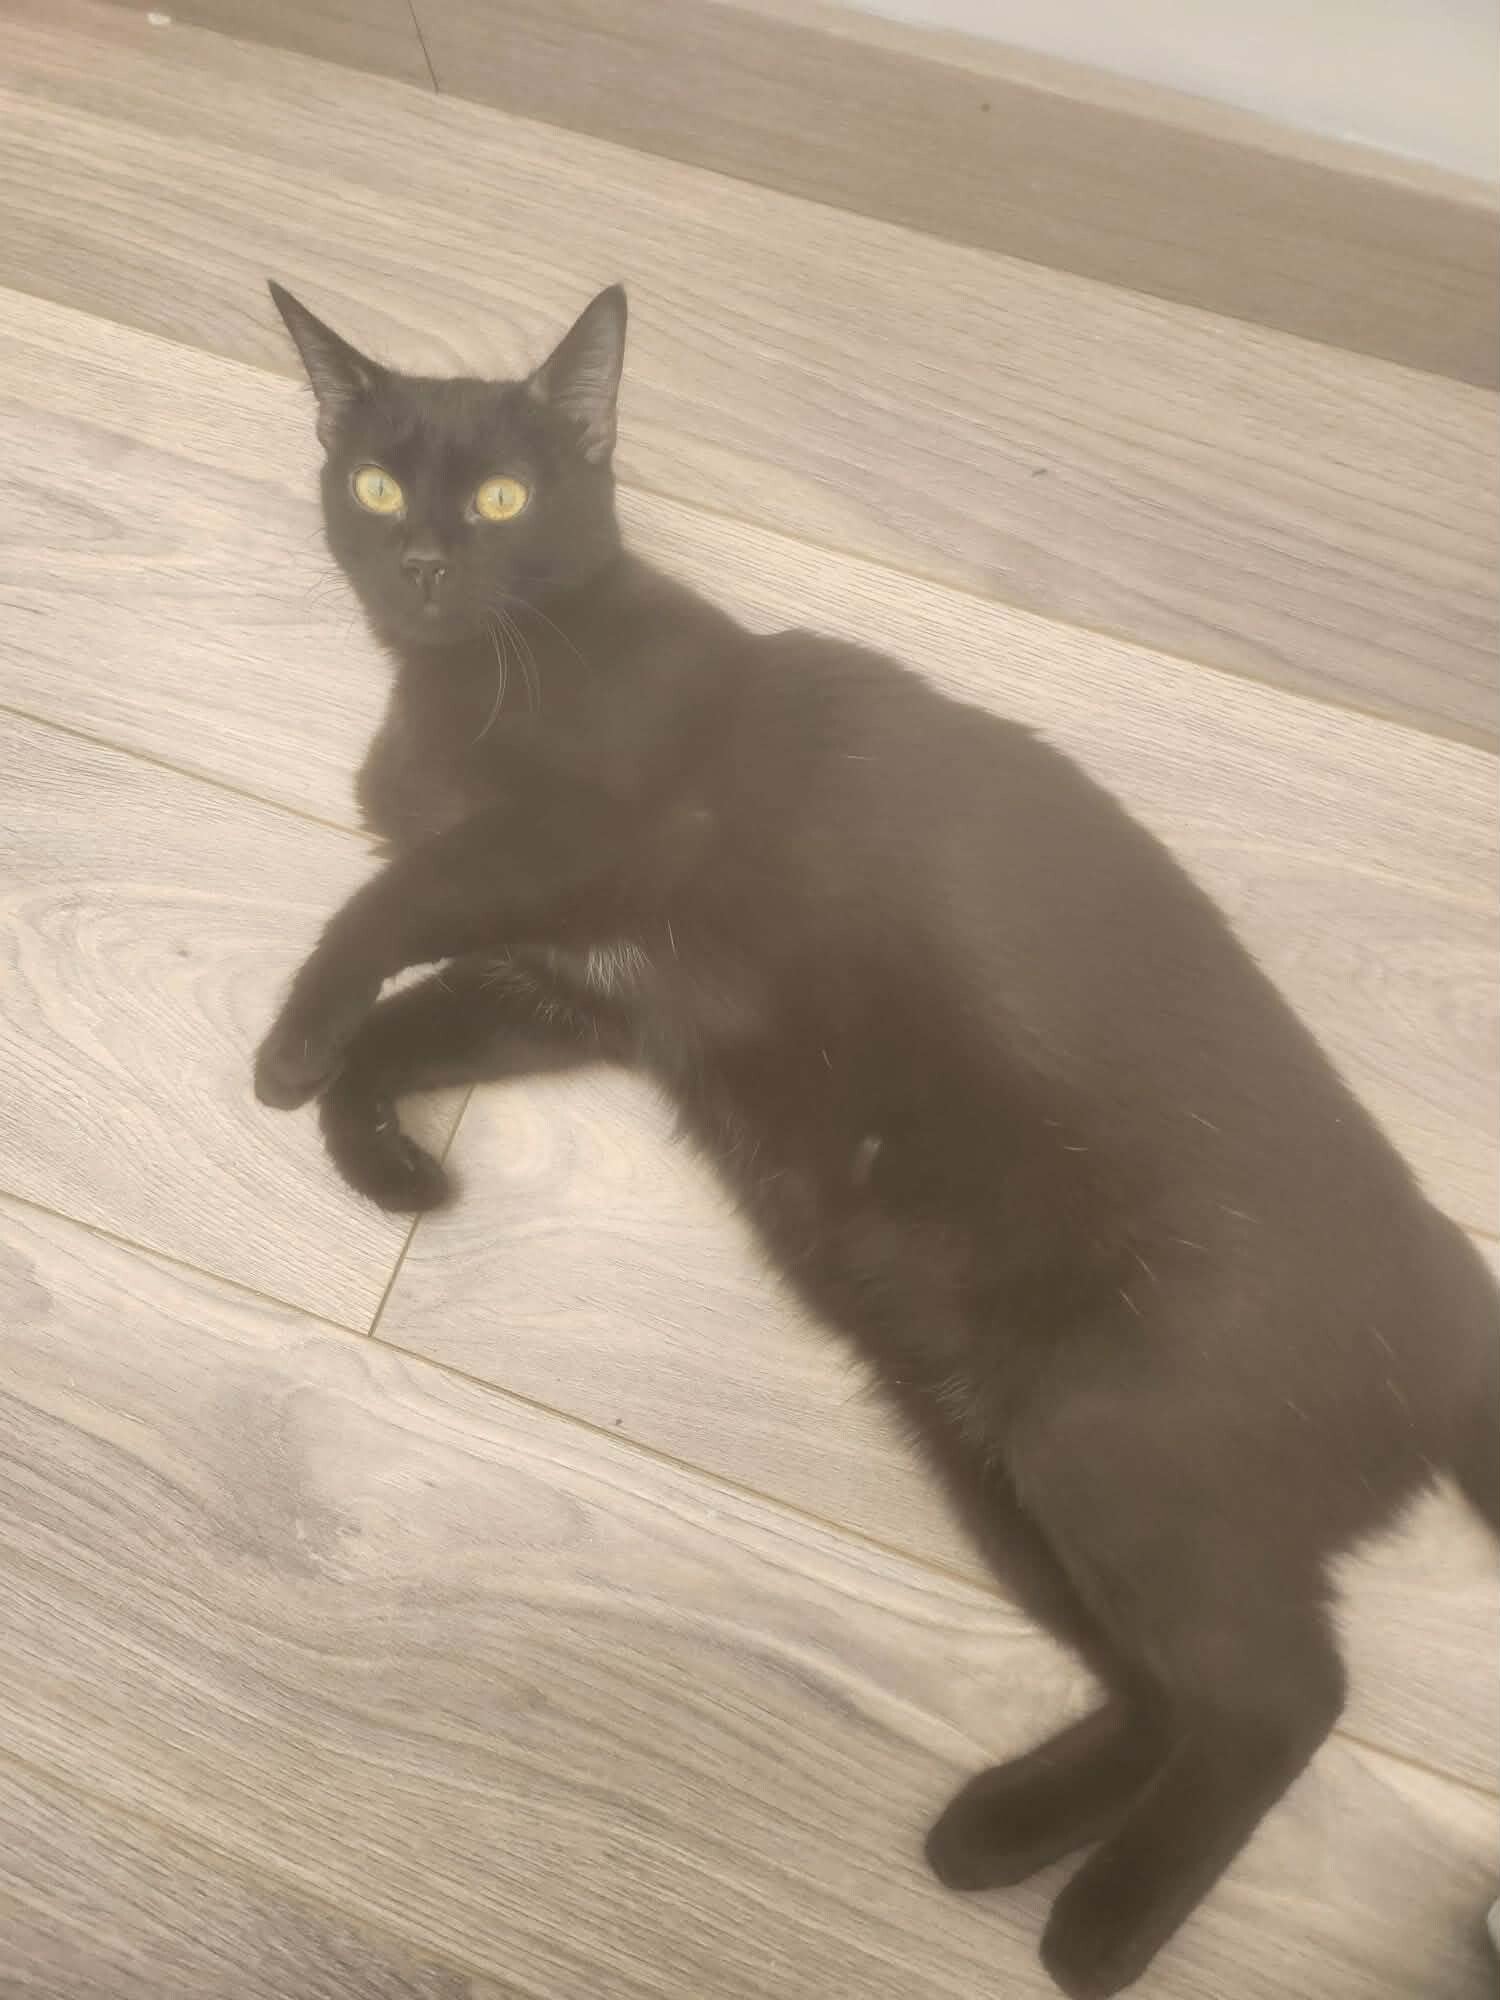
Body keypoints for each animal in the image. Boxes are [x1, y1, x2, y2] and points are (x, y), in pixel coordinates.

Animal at [255, 281, 1500, 1998]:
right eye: (377, 486)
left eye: (503, 498)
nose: (427, 562)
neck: (478, 679)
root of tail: (1453, 1291)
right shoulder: (584, 988)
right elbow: (414, 1017)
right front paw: (389, 1160)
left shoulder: (573, 841)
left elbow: (381, 910)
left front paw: (289, 1052)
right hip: (990, 1447)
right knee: (1176, 1685)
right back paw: (998, 1829)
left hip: (1109, 1436)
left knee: (1284, 1694)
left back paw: (1097, 1932)